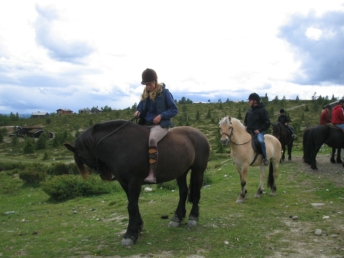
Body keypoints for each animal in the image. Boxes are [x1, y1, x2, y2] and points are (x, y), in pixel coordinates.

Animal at [64, 120, 210, 246]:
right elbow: (133, 204)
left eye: (81, 157)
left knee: (196, 192)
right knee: (183, 192)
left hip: (198, 170)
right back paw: (177, 218)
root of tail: (200, 134)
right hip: (181, 172)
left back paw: (192, 218)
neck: (120, 145)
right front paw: (138, 227)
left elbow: (132, 206)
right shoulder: (124, 183)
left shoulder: (134, 182)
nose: (105, 176)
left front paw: (130, 234)